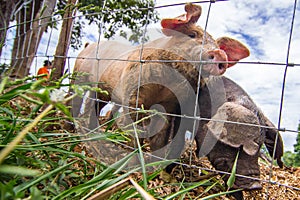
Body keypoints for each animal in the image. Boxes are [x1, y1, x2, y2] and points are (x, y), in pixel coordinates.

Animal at [72, 3, 251, 161]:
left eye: (215, 44)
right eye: (192, 35)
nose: (220, 53)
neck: (166, 85)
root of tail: (89, 45)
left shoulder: (170, 106)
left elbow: (161, 136)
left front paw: (155, 163)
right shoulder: (134, 93)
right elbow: (134, 126)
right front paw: (132, 158)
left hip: (103, 91)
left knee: (95, 104)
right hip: (78, 74)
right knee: (77, 98)